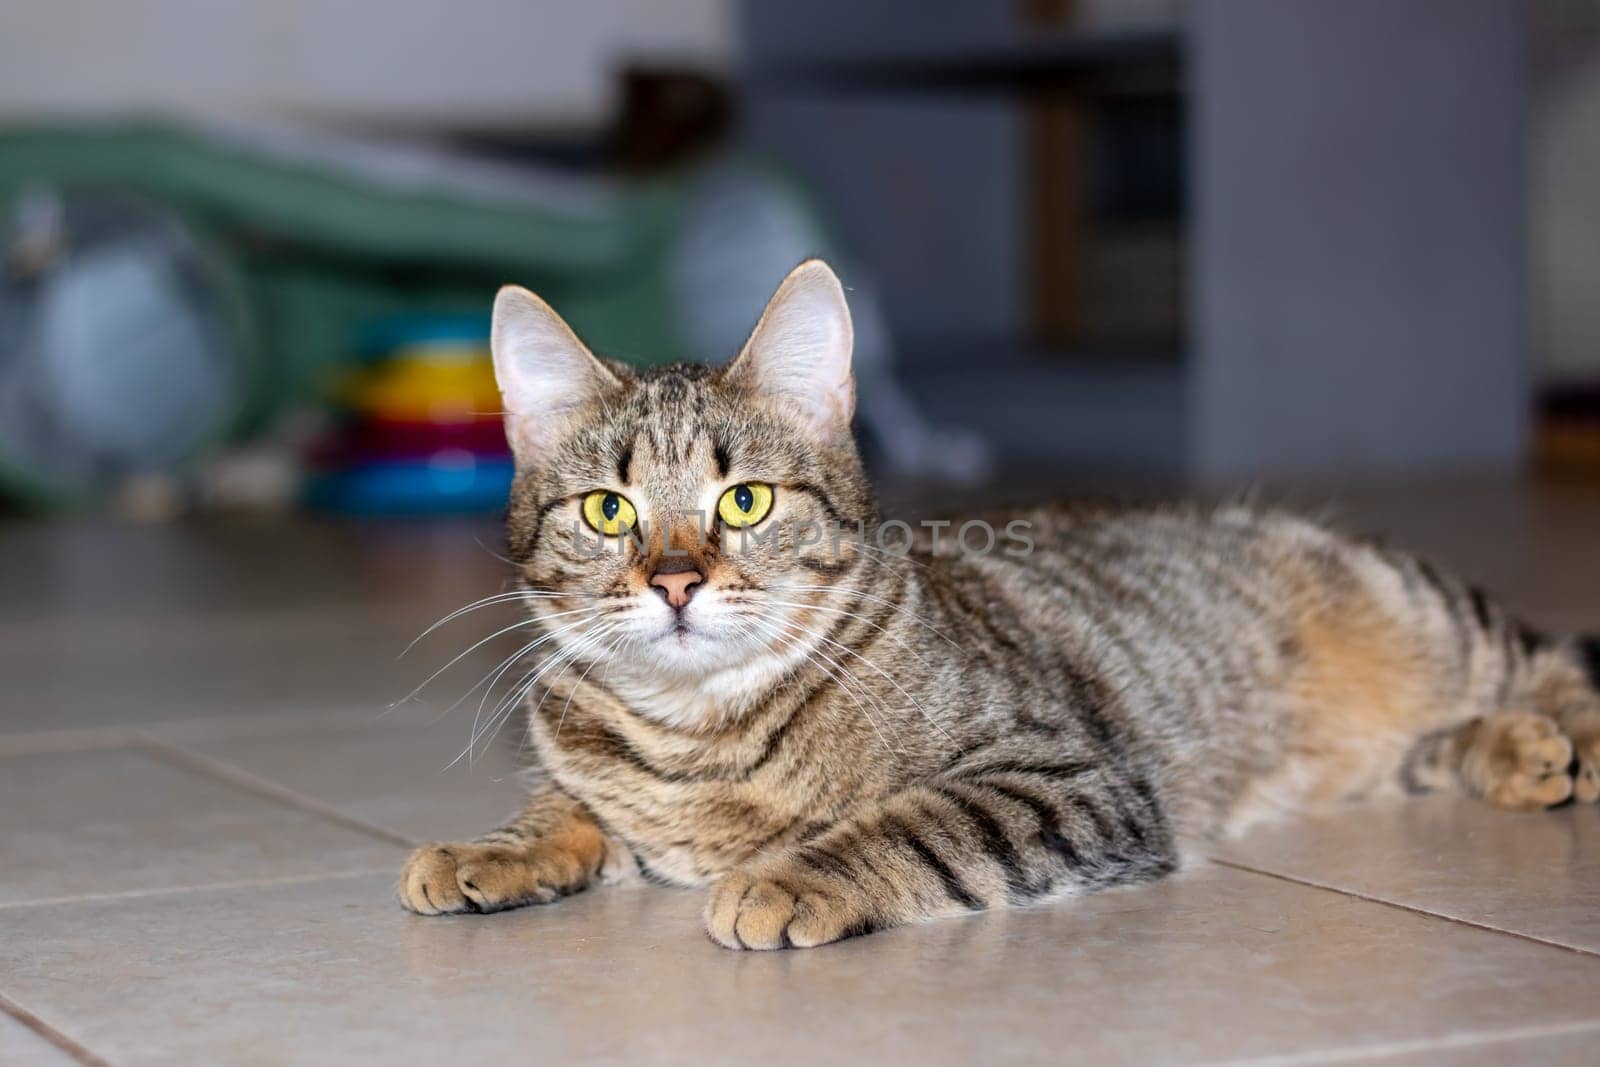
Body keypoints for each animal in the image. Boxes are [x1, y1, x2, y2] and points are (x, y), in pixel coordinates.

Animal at [390, 259, 1600, 953]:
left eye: (745, 499)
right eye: (608, 508)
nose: (676, 579)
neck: (702, 733)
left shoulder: (1069, 777)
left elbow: (913, 821)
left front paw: (785, 875)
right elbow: (564, 808)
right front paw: (493, 847)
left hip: (1424, 610)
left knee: (1550, 658)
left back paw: (1566, 734)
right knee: (1435, 746)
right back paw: (1512, 752)